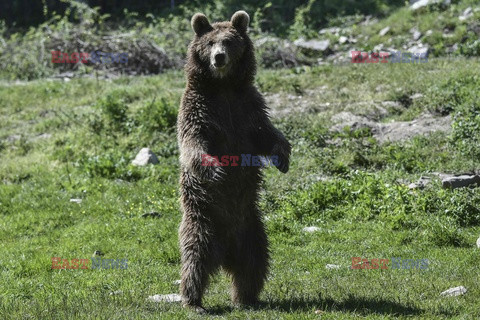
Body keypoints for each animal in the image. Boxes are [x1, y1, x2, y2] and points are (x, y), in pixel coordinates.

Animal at [175, 10, 290, 312]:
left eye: (228, 41)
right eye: (210, 43)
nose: (219, 58)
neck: (223, 86)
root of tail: (226, 252)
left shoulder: (248, 107)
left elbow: (267, 133)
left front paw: (282, 158)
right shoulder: (199, 110)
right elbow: (193, 141)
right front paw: (215, 169)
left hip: (252, 226)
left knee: (255, 262)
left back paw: (246, 298)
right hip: (203, 220)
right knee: (195, 260)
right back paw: (194, 301)